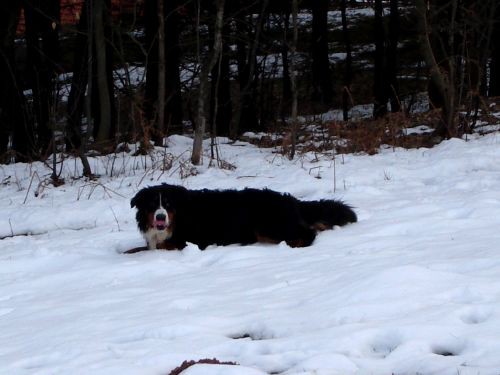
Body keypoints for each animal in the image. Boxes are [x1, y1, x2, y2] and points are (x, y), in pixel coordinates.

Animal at [129, 184, 356, 251]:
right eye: (152, 205)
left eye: (168, 205)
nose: (160, 217)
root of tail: (291, 200)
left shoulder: (187, 240)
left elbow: (158, 247)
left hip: (267, 225)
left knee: (307, 233)